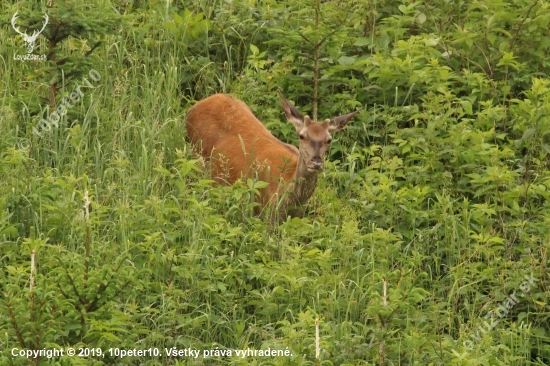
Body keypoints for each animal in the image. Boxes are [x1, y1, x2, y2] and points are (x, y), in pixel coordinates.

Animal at [184, 93, 358, 222]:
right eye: (301, 136)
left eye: (328, 139)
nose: (316, 162)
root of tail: (192, 109)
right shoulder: (266, 212)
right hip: (197, 158)